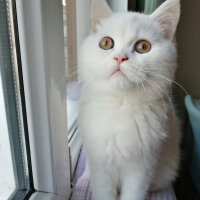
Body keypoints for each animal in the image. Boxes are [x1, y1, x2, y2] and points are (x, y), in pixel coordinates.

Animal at [78, 0, 181, 199]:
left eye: (143, 47)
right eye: (106, 43)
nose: (120, 57)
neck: (121, 105)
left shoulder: (143, 168)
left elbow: (134, 193)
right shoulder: (99, 165)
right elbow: (103, 191)